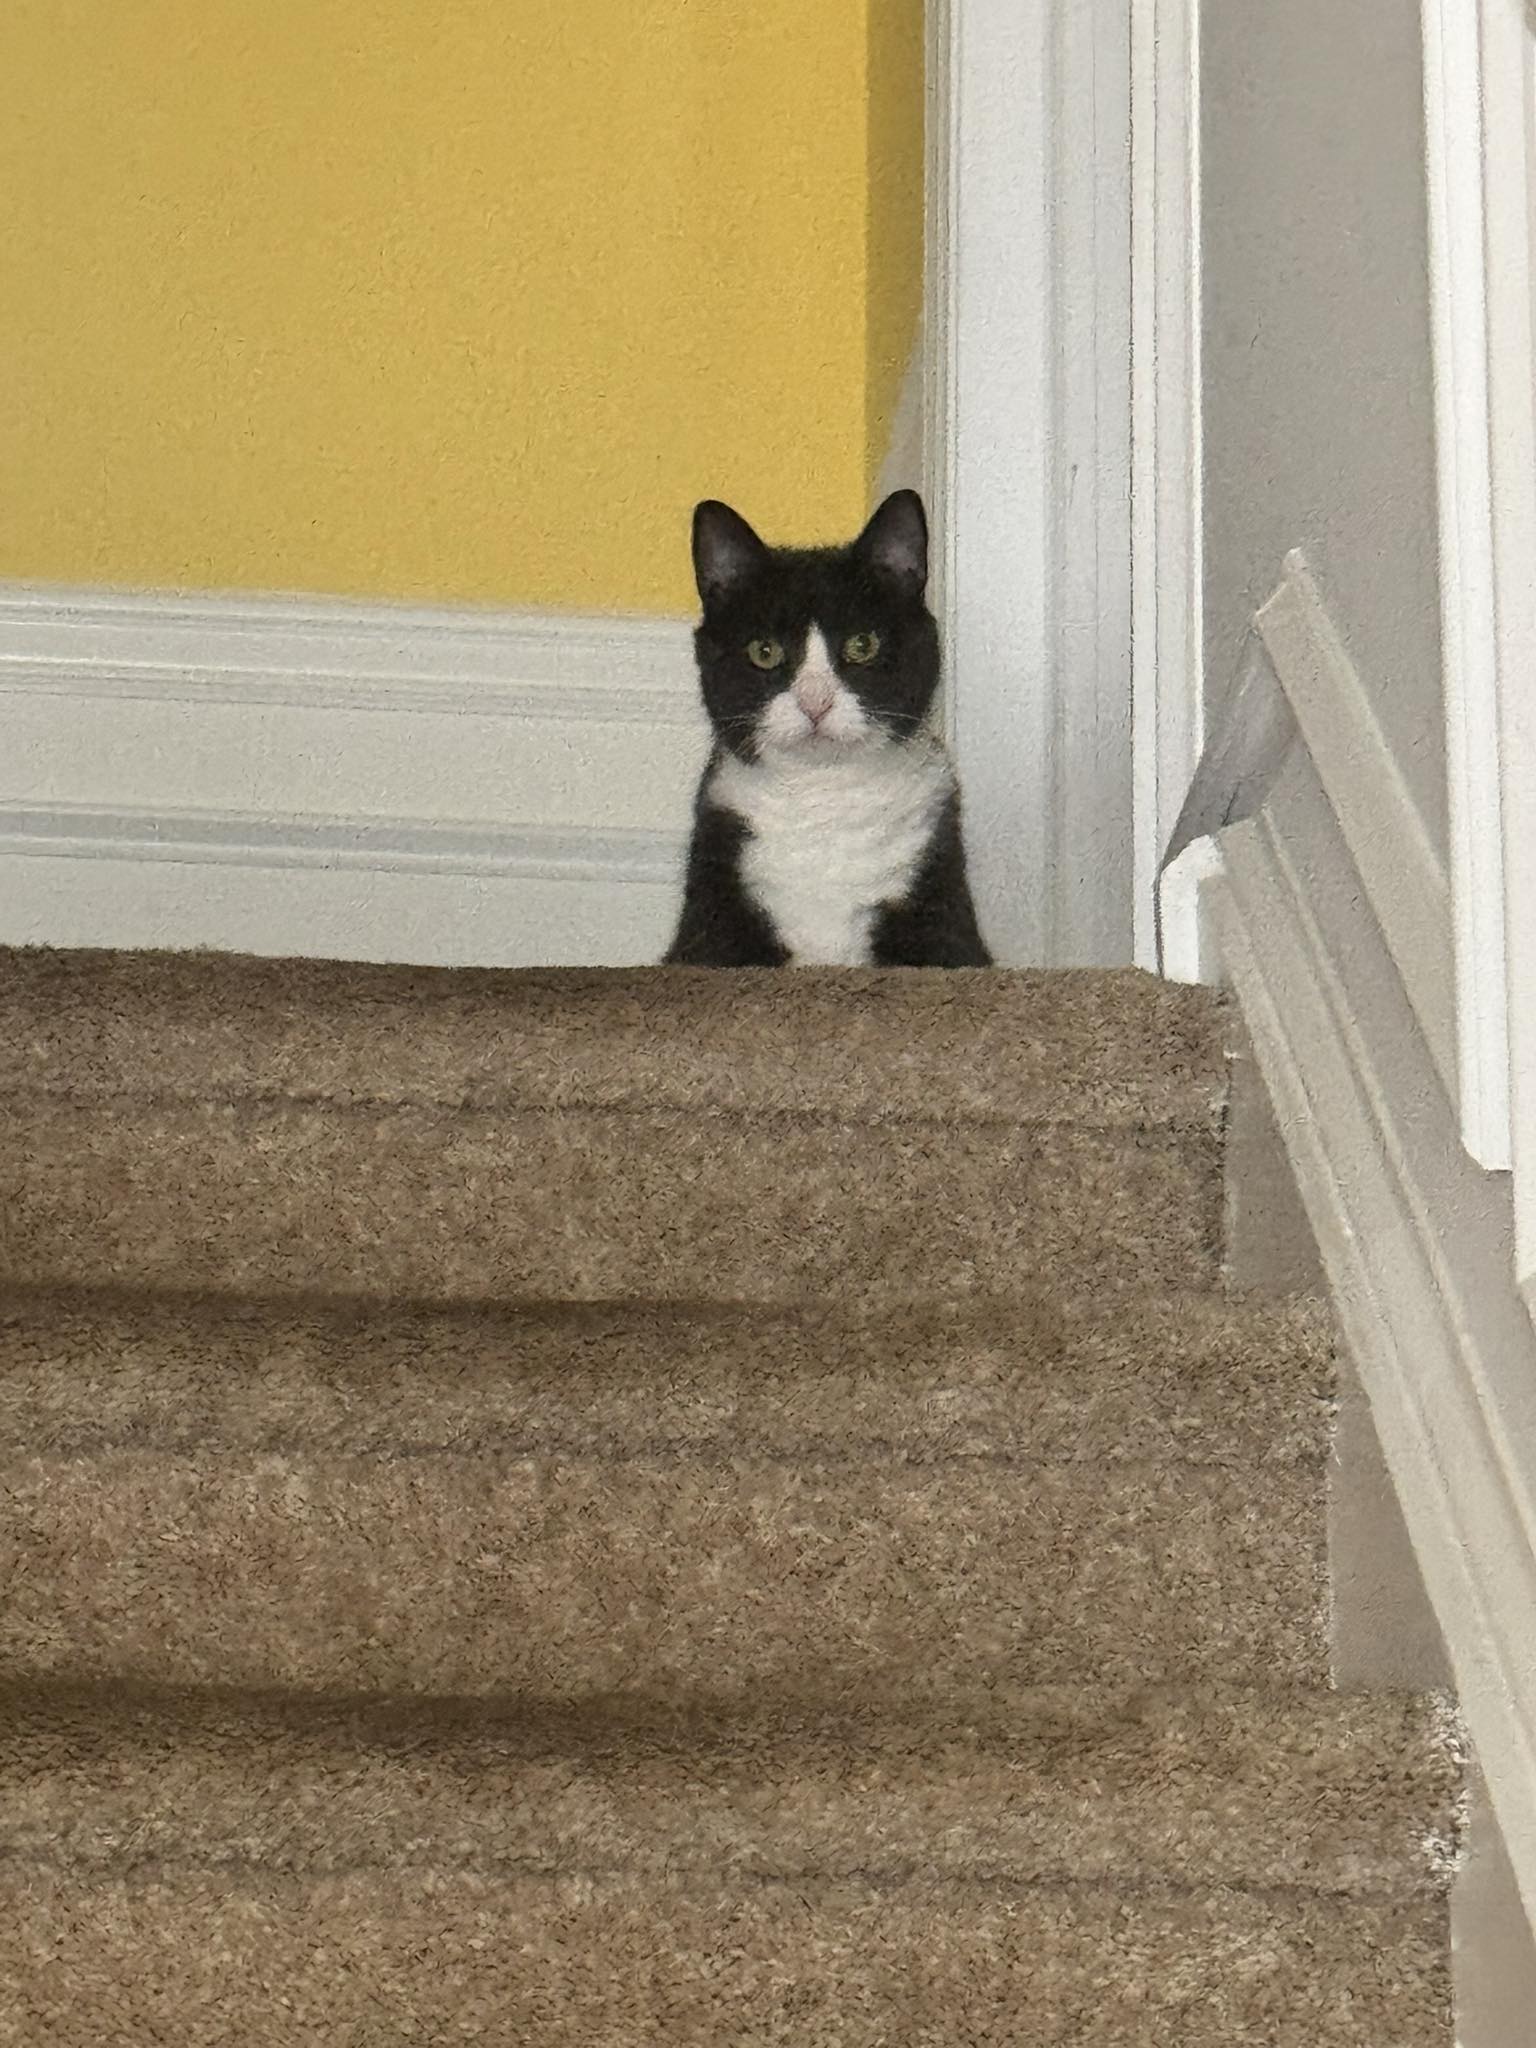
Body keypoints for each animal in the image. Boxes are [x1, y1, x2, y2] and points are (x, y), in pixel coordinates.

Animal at [664, 490, 992, 968]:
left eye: (862, 644)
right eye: (764, 651)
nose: (815, 701)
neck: (823, 799)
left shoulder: (944, 918)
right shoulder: (709, 925)